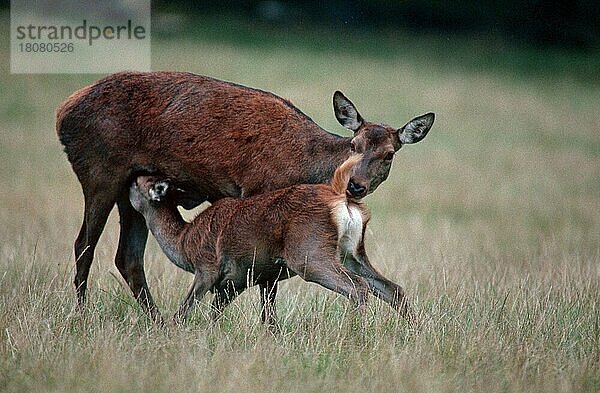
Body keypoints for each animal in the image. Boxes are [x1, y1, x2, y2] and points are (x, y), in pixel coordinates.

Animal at [129, 155, 414, 324]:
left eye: (139, 183)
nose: (132, 176)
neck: (184, 243)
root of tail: (338, 194)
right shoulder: (233, 283)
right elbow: (214, 316)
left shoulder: (207, 268)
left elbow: (184, 309)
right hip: (352, 252)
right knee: (392, 288)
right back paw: (413, 330)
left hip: (309, 254)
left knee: (358, 287)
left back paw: (357, 331)